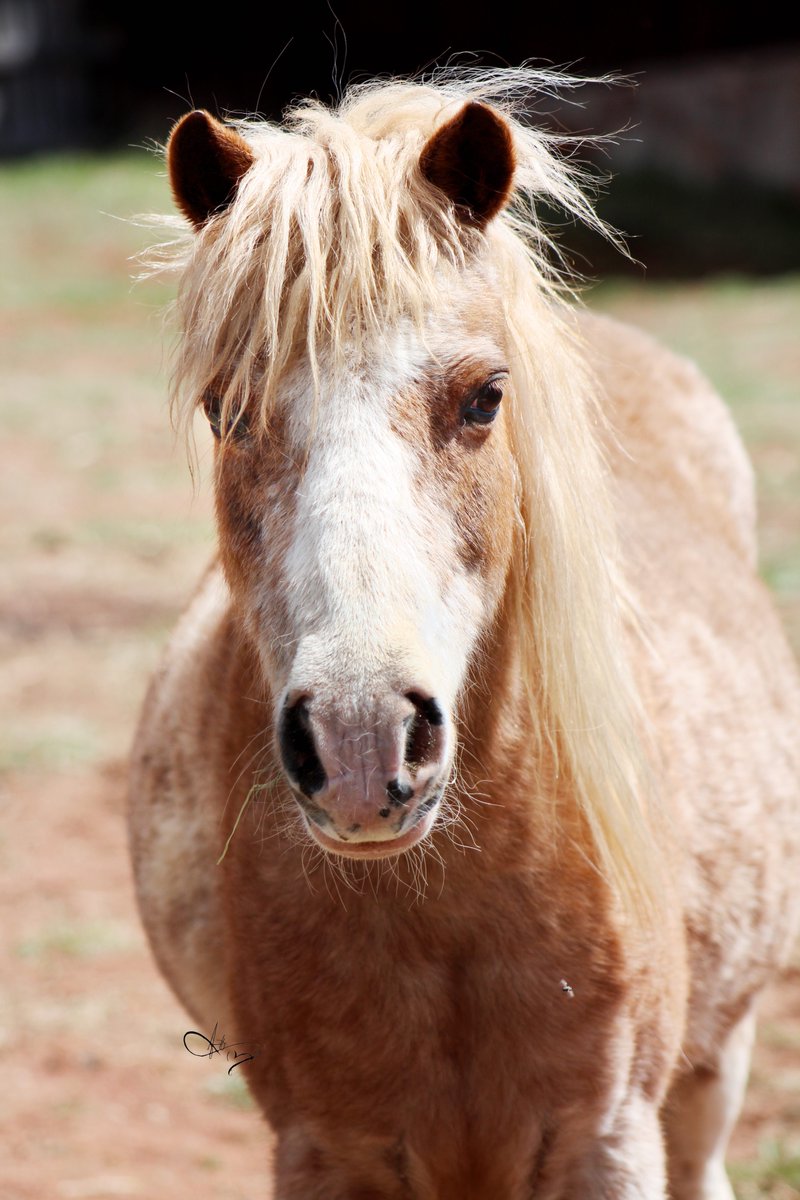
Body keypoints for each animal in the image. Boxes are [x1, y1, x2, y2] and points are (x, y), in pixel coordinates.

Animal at [126, 70, 800, 1195]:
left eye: (484, 398)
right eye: (226, 412)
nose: (360, 746)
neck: (444, 913)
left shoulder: (607, 1138)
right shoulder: (327, 1151)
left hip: (712, 1070)